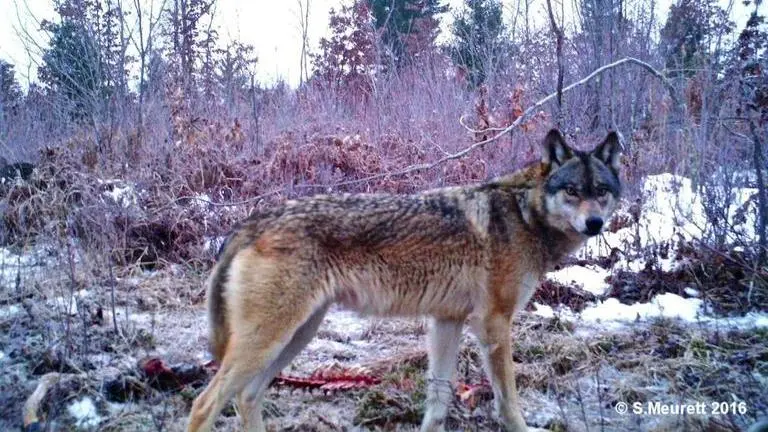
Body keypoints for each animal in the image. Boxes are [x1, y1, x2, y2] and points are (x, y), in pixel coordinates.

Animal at [187, 129, 622, 432]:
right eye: (572, 191)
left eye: (601, 191)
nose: (595, 223)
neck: (523, 214)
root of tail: (251, 222)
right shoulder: (494, 324)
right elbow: (507, 402)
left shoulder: (447, 322)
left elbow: (438, 400)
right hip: (270, 340)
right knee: (204, 405)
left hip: (295, 337)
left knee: (247, 396)